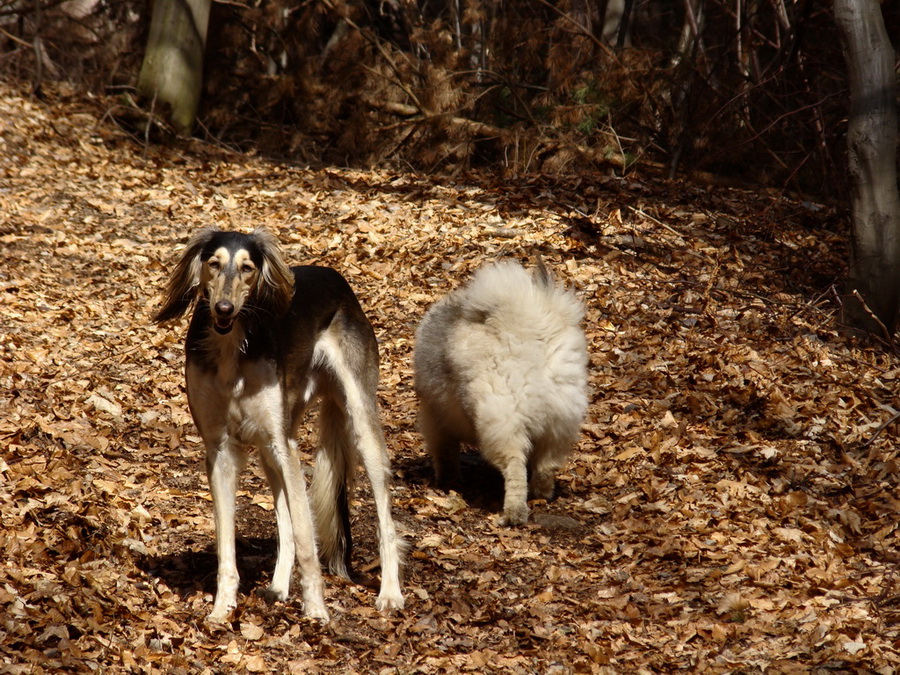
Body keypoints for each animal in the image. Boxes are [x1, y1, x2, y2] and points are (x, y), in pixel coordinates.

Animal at [155, 228, 404, 624]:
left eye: (247, 268)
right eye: (214, 264)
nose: (223, 309)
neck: (232, 346)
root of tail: (335, 277)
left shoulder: (280, 444)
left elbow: (305, 535)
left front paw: (316, 609)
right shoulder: (221, 449)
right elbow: (228, 544)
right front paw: (222, 608)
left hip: (359, 423)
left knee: (385, 521)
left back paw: (390, 593)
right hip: (275, 443)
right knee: (284, 518)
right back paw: (279, 587)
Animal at [414, 258, 592, 528]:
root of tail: (532, 337)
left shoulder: (434, 418)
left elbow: (444, 453)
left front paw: (447, 481)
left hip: (503, 422)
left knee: (515, 466)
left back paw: (513, 514)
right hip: (560, 422)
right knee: (546, 466)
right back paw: (541, 495)